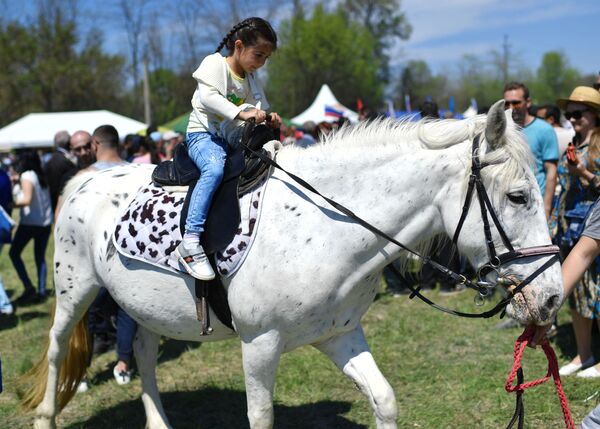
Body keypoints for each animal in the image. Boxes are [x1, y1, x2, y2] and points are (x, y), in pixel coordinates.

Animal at [23, 98, 564, 426]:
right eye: (518, 196)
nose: (553, 296)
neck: (328, 229)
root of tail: (86, 178)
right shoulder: (260, 344)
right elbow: (261, 417)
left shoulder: (340, 335)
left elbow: (385, 399)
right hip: (75, 291)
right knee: (55, 347)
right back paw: (46, 415)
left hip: (148, 308)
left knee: (144, 353)